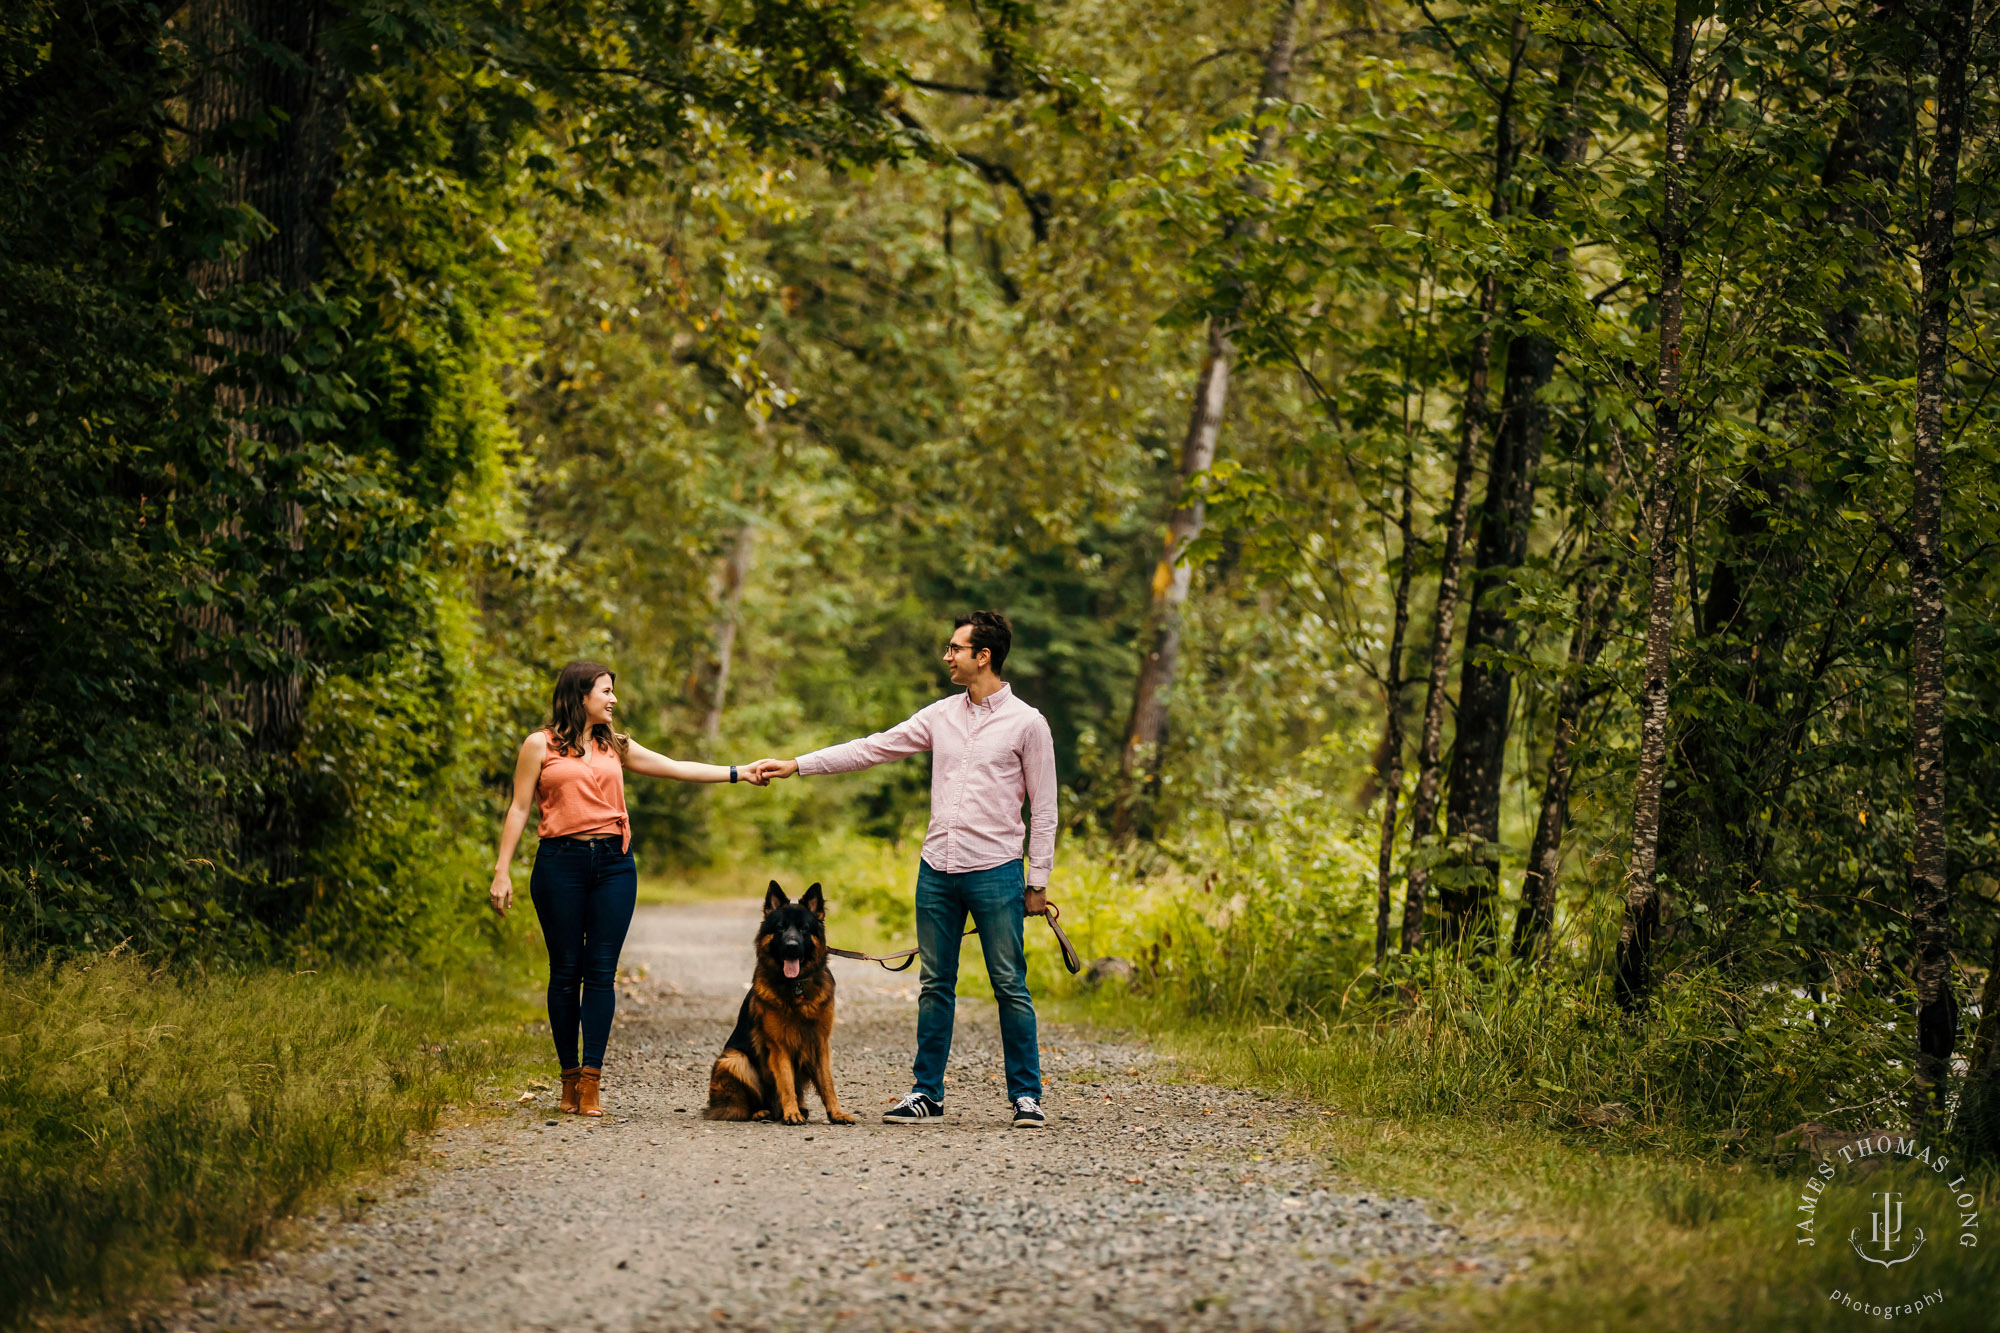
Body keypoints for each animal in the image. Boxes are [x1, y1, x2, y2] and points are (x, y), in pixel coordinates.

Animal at [704, 880, 852, 1120]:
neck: (796, 986)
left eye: (803, 928)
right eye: (781, 927)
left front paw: (837, 1113)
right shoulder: (779, 1046)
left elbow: (827, 1083)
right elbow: (786, 1081)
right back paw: (763, 1112)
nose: (791, 946)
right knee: (743, 1107)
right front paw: (791, 1113)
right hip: (734, 1059)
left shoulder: (820, 1043)